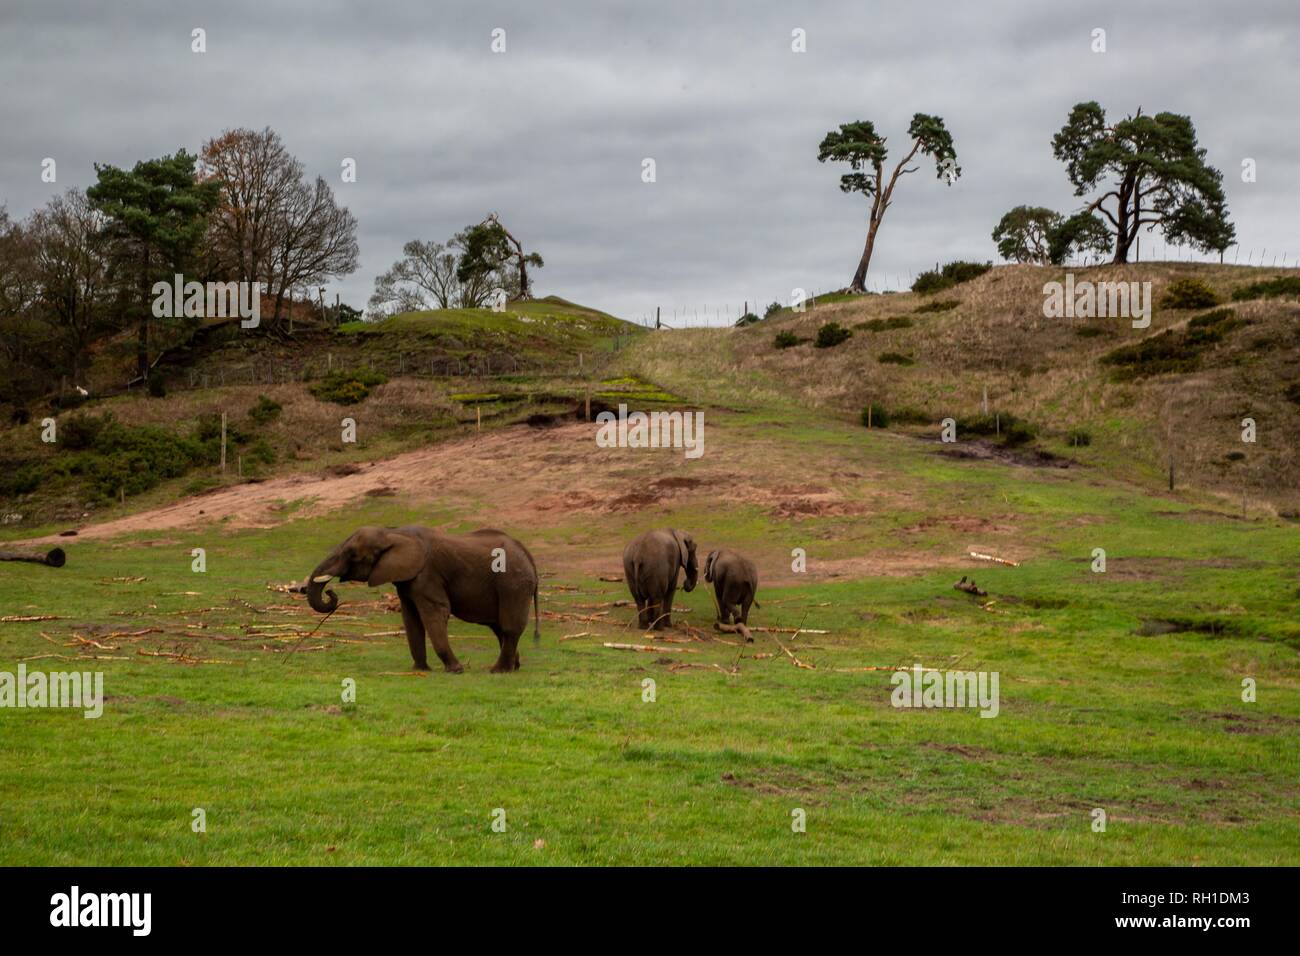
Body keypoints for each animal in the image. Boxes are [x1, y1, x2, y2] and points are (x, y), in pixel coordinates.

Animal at [306, 528, 540, 676]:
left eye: (352, 554)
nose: (331, 592)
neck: (394, 533)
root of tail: (528, 555)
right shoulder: (406, 579)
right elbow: (411, 619)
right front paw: (419, 670)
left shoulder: (427, 575)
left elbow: (435, 613)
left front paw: (455, 670)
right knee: (499, 627)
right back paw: (513, 667)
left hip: (513, 581)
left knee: (509, 627)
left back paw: (498, 671)